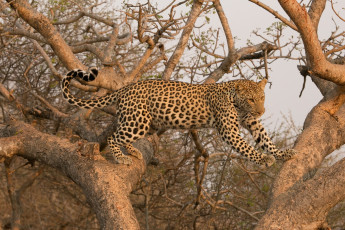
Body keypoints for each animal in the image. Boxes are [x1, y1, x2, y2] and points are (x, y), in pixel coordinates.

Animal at [61, 67, 296, 166]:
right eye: (251, 99)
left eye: (262, 97)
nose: (261, 111)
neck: (237, 103)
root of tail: (126, 88)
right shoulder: (230, 130)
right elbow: (247, 147)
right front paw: (263, 159)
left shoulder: (252, 122)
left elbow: (265, 140)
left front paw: (282, 153)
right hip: (138, 121)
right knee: (113, 137)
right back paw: (121, 158)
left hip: (141, 121)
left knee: (121, 134)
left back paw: (133, 151)